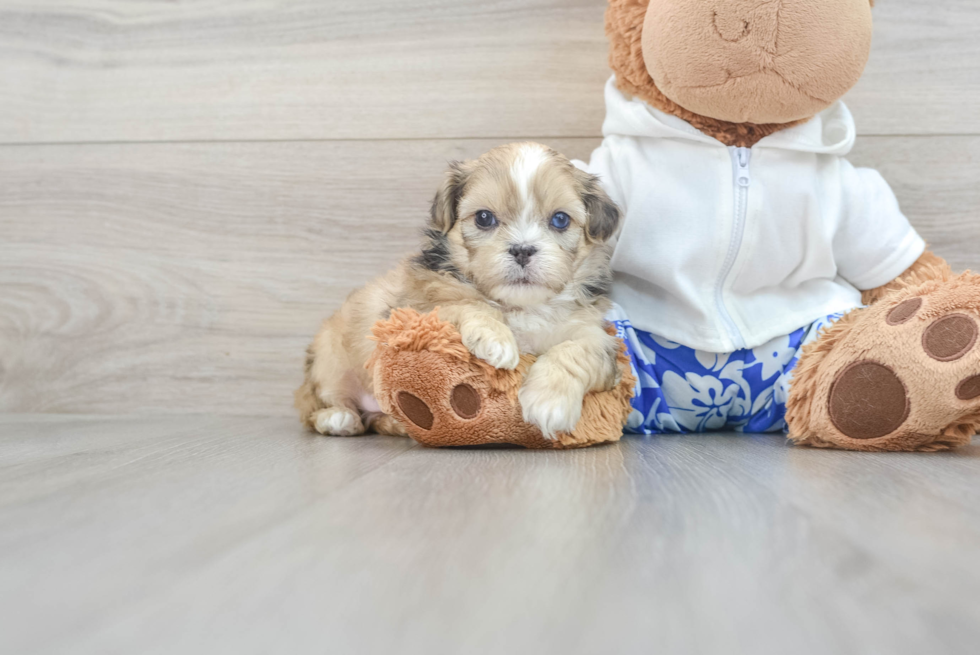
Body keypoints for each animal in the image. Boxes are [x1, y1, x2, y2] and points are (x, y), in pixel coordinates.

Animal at [294, 144, 624, 440]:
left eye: (560, 219)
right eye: (484, 218)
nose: (522, 250)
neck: (521, 306)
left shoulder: (594, 334)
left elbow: (577, 351)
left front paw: (549, 402)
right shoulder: (416, 309)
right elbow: (465, 302)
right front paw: (496, 339)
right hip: (329, 365)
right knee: (313, 405)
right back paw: (338, 418)